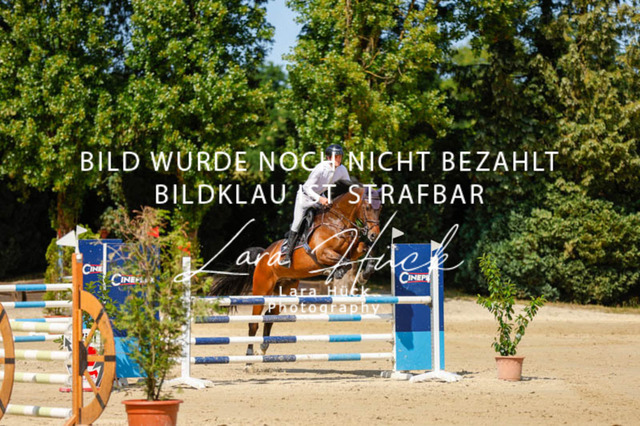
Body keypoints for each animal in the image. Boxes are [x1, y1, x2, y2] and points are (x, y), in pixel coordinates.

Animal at [209, 182, 382, 356]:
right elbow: (344, 262)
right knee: (254, 323)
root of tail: (263, 255)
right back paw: (250, 355)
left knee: (270, 316)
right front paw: (335, 271)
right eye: (368, 207)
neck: (337, 222)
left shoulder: (353, 250)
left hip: (284, 290)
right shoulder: (321, 253)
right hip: (262, 289)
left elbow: (366, 249)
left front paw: (364, 274)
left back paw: (263, 348)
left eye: (380, 208)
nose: (374, 234)